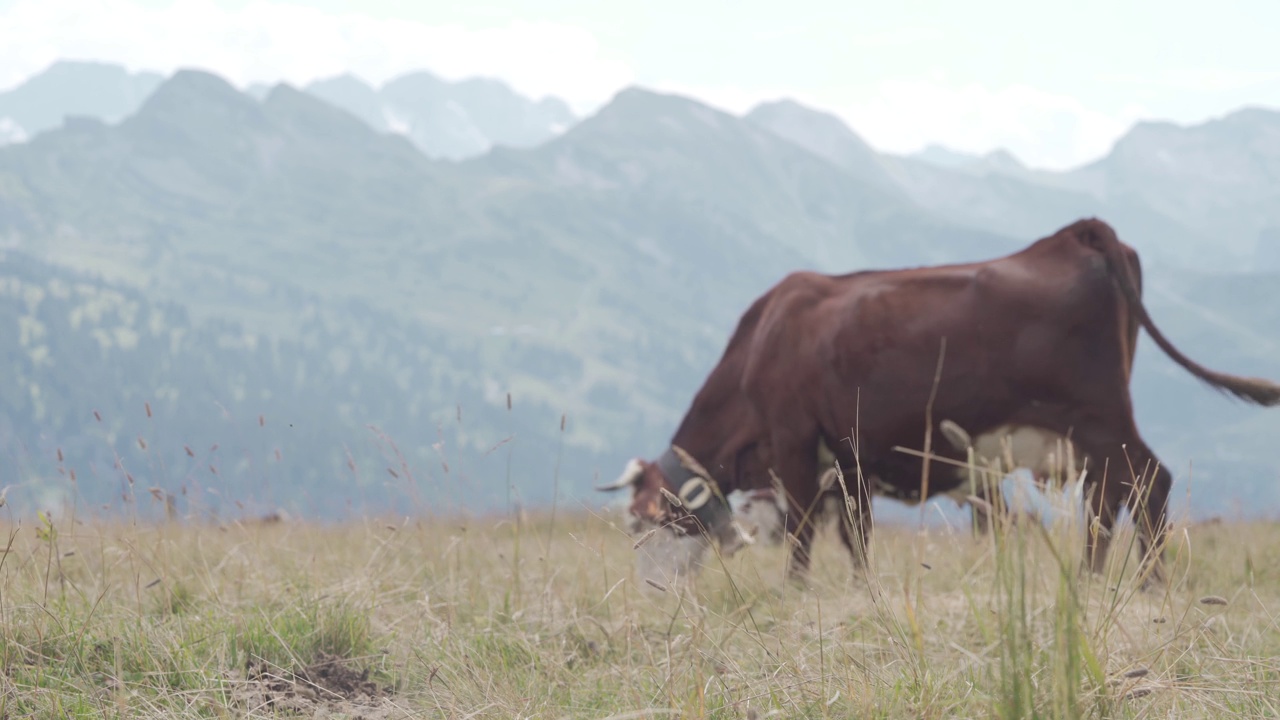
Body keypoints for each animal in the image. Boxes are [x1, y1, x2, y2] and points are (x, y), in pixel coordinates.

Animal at [599, 219, 1280, 589]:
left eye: (639, 523)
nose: (650, 590)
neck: (764, 340)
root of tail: (1074, 234)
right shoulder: (849, 458)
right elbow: (856, 533)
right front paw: (861, 589)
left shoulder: (793, 439)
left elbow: (802, 529)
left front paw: (795, 591)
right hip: (1085, 433)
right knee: (1109, 494)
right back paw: (1091, 582)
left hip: (1099, 413)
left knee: (1146, 482)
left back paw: (1147, 586)